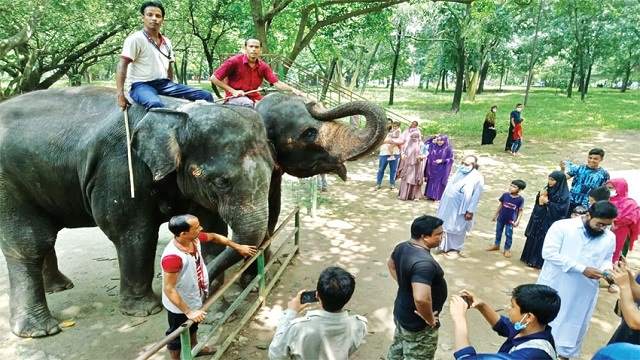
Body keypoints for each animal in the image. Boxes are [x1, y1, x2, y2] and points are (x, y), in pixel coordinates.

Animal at [0, 86, 272, 338]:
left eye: (271, 172)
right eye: (222, 182)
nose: (203, 294)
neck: (178, 113)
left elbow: (210, 229)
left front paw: (218, 310)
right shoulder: (119, 169)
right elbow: (133, 231)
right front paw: (144, 311)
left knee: (43, 237)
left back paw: (59, 287)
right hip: (9, 185)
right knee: (30, 243)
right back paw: (40, 330)